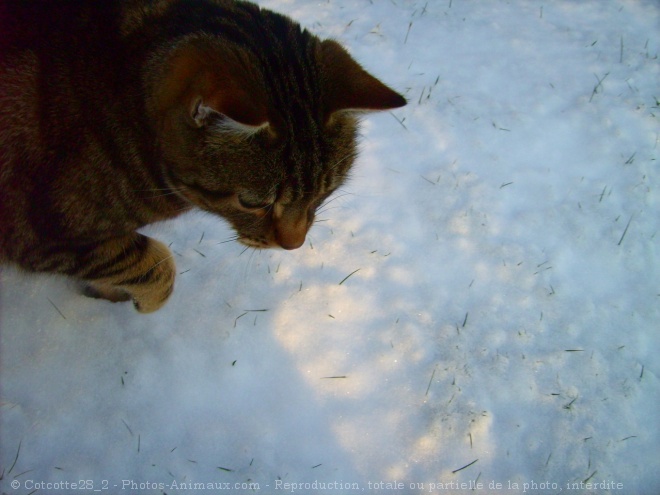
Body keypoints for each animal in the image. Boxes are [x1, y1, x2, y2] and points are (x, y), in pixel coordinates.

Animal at [0, 0, 404, 312]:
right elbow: (152, 264)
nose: (294, 245)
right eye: (252, 203)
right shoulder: (42, 232)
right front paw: (135, 300)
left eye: (324, 195)